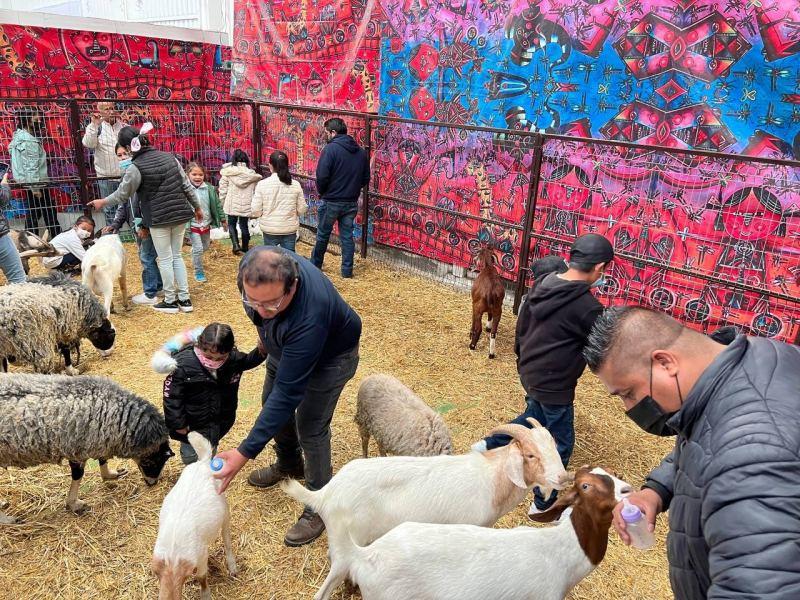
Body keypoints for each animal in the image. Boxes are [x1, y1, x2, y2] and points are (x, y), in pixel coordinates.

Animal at [0, 372, 173, 524]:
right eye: (154, 461)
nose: (152, 484)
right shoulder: (78, 448)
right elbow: (78, 474)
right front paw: (73, 504)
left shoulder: (101, 438)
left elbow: (102, 459)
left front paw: (109, 475)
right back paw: (8, 519)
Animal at [282, 420, 568, 596]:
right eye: (530, 455)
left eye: (554, 446)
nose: (563, 477)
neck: (492, 478)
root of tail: (327, 493)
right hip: (349, 543)